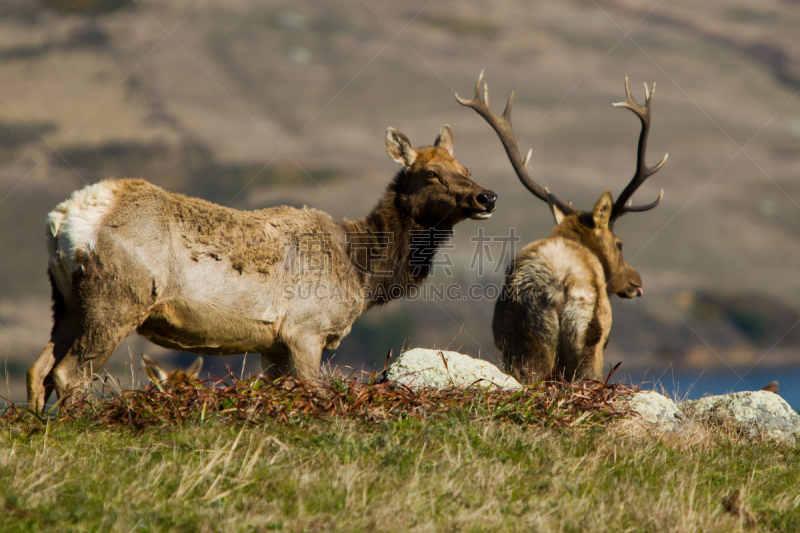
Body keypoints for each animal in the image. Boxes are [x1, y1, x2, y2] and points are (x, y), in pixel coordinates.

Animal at [26, 123, 494, 408]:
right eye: (430, 173)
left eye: (466, 167)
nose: (487, 196)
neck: (361, 273)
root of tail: (63, 219)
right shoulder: (306, 329)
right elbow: (313, 391)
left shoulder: (273, 344)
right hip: (117, 298)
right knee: (68, 373)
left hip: (67, 302)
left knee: (39, 368)